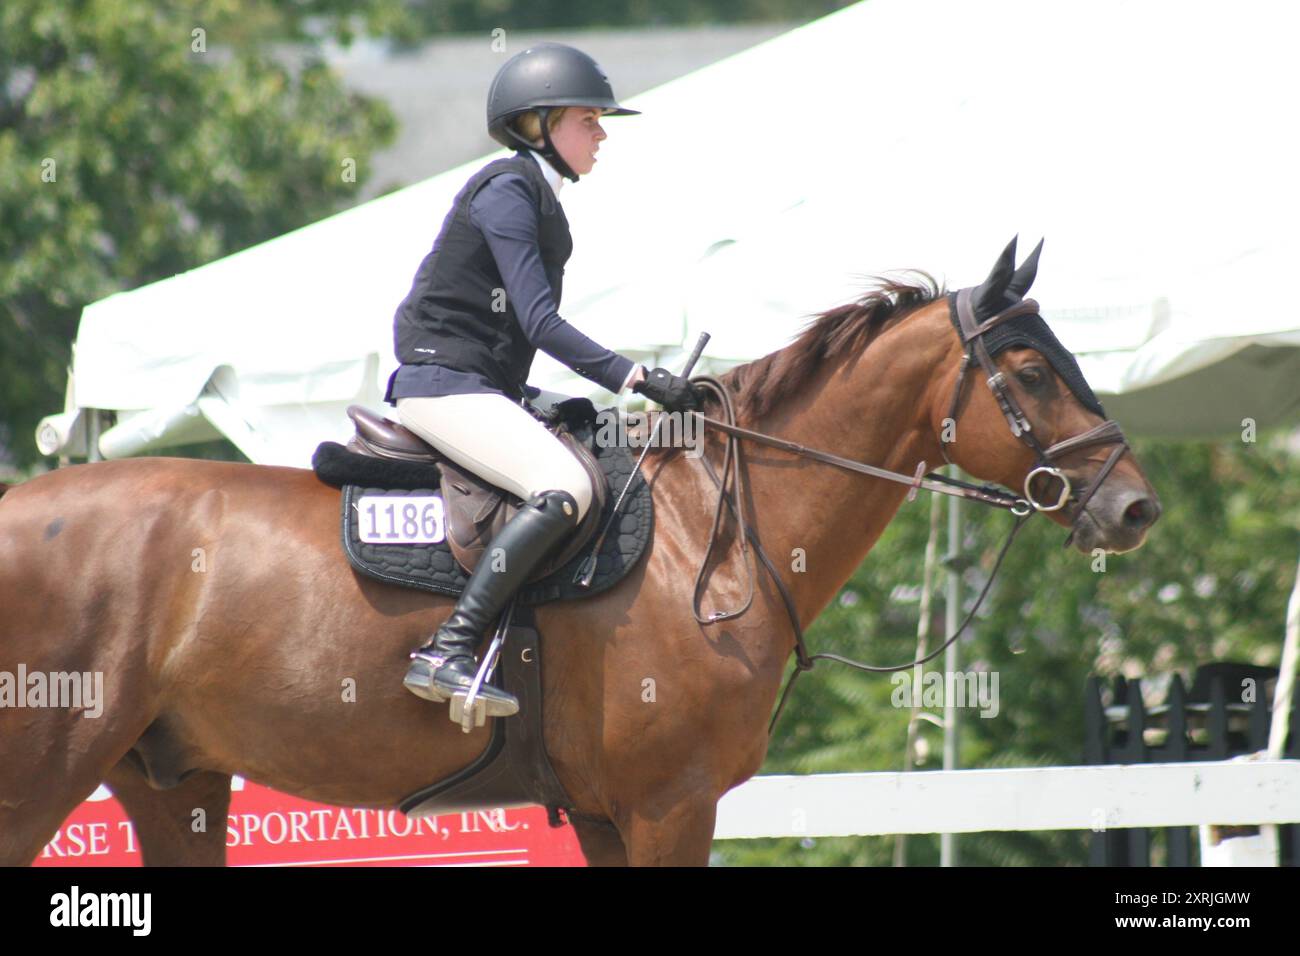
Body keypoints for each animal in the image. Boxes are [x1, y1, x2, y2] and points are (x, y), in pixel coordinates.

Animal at [0, 239, 1159, 868]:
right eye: (1029, 368)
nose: (1135, 507)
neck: (707, 539)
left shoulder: (610, 813)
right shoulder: (667, 804)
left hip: (171, 778)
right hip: (48, 767)